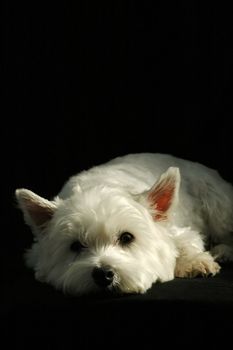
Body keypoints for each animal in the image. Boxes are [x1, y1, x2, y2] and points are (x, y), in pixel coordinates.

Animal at [15, 154, 233, 294]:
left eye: (127, 237)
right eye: (75, 246)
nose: (103, 274)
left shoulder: (174, 230)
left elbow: (186, 242)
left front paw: (195, 262)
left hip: (216, 202)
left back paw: (223, 251)